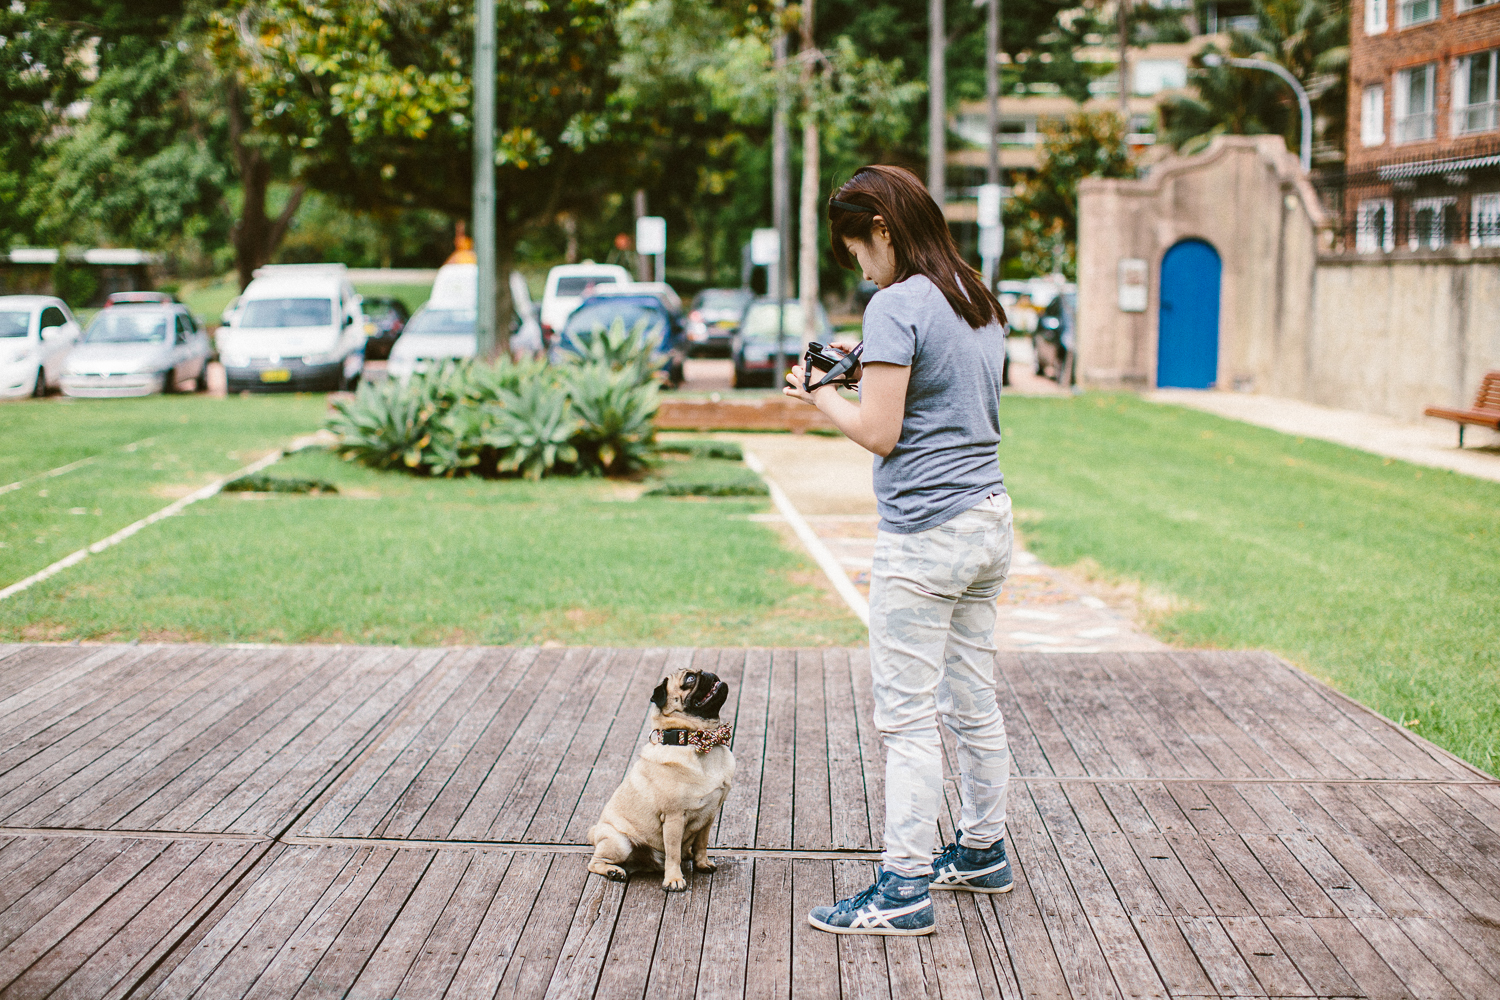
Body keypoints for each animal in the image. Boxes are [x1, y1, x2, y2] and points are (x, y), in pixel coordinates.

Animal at [585, 671, 732, 893]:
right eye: (689, 679)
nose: (708, 673)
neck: (696, 740)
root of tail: (595, 833)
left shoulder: (709, 816)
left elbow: (701, 844)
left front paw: (702, 863)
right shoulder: (674, 818)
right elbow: (672, 853)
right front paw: (673, 880)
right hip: (619, 842)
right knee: (594, 863)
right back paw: (614, 871)